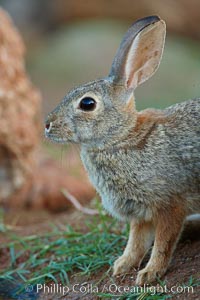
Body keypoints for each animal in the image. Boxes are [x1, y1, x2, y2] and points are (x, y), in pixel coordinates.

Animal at [45, 15, 200, 284]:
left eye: (87, 103)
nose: (47, 125)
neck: (120, 139)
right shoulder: (140, 214)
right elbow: (136, 241)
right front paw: (121, 266)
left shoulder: (170, 205)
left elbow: (163, 242)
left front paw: (150, 273)